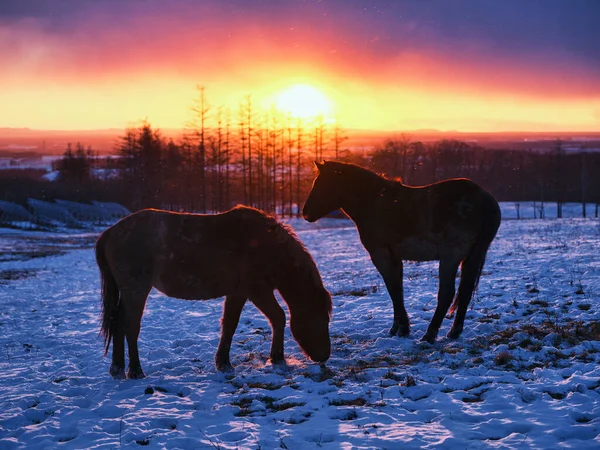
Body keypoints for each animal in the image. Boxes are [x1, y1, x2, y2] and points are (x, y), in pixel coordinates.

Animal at [97, 206, 332, 378]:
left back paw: (117, 369)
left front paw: (223, 363)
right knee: (130, 327)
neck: (267, 246)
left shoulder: (238, 293)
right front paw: (277, 358)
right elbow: (278, 317)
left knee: (118, 323)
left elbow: (229, 325)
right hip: (136, 290)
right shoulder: (258, 291)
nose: (324, 356)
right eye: (321, 318)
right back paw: (136, 371)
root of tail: (110, 233)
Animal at [300, 160, 502, 342]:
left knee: (447, 294)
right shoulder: (395, 258)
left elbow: (393, 290)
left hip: (450, 258)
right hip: (472, 257)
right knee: (465, 291)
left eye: (322, 184)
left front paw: (403, 328)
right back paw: (453, 332)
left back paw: (429, 335)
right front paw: (397, 327)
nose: (305, 213)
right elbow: (398, 290)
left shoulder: (381, 255)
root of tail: (484, 200)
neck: (374, 202)